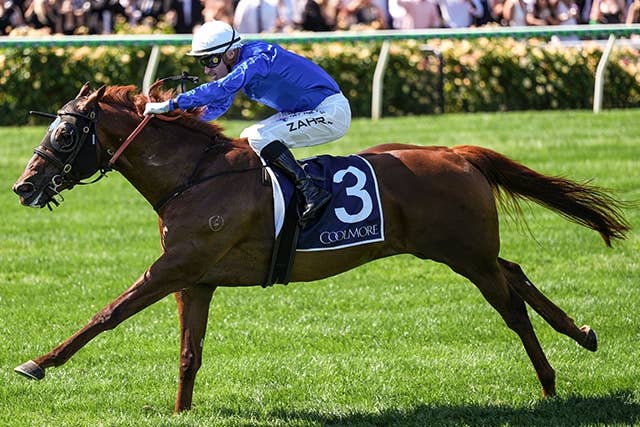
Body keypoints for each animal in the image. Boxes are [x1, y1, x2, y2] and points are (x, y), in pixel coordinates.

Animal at [12, 83, 630, 414]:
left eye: (64, 134)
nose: (23, 186)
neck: (194, 176)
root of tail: (457, 153)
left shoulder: (174, 267)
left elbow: (106, 315)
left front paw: (37, 362)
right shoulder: (195, 278)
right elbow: (189, 351)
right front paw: (182, 411)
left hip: (465, 256)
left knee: (512, 307)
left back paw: (549, 384)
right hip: (467, 250)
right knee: (517, 271)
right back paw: (583, 333)